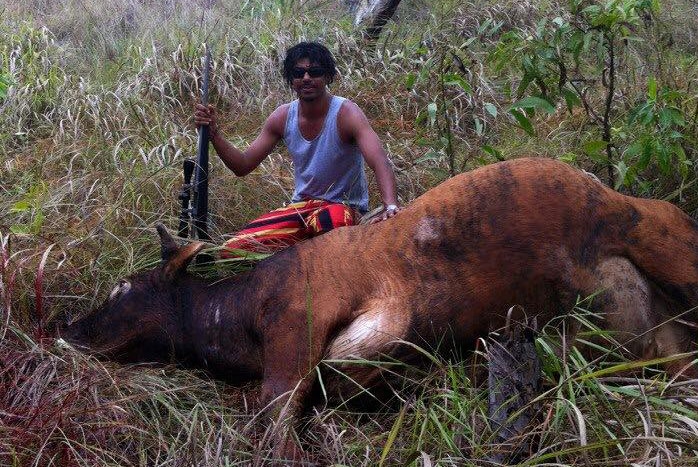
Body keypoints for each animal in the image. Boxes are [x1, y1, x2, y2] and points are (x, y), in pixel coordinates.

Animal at [62, 158, 696, 460]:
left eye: (121, 290)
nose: (67, 328)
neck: (233, 323)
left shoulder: (299, 329)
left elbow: (284, 420)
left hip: (654, 230)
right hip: (647, 327)